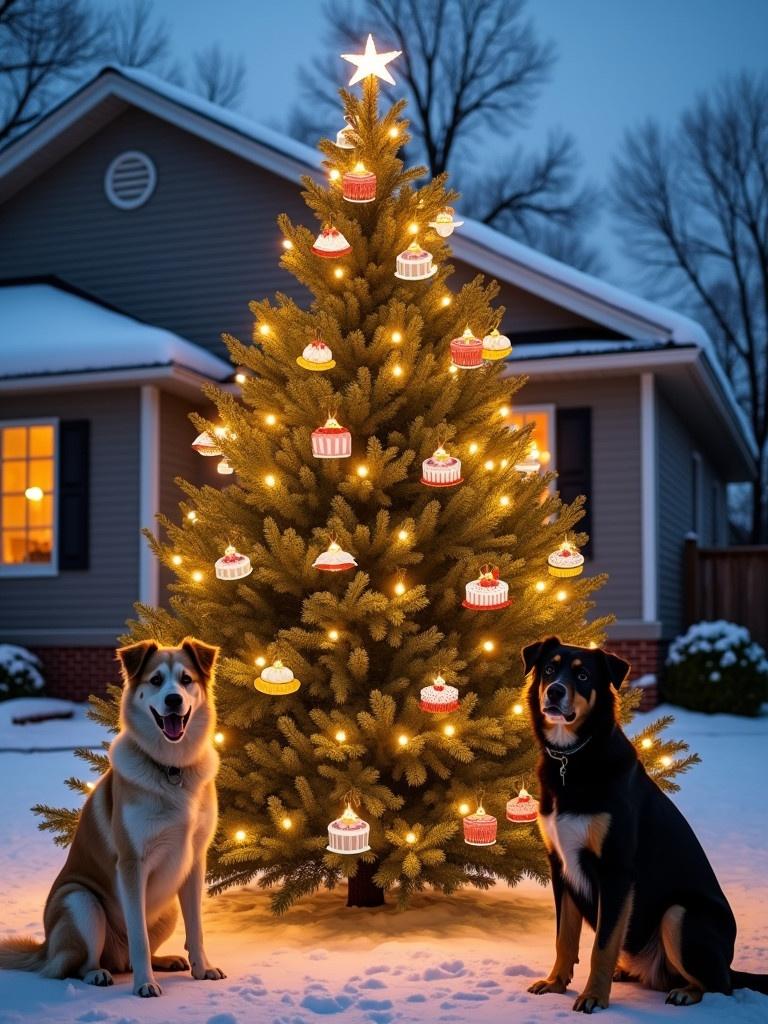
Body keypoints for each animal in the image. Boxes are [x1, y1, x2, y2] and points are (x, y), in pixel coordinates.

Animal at [0, 634, 227, 995]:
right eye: (156, 680)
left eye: (186, 679)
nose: (174, 700)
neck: (171, 769)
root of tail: (44, 947)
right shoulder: (132, 864)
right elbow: (139, 938)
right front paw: (145, 986)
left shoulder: (194, 862)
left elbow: (197, 928)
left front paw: (202, 969)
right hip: (81, 902)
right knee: (74, 965)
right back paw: (98, 974)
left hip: (166, 910)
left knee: (126, 959)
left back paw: (165, 962)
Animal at [524, 634, 768, 1011]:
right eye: (550, 669)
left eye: (582, 676)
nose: (554, 691)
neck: (574, 759)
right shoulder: (561, 867)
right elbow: (564, 938)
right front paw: (555, 983)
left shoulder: (616, 871)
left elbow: (602, 946)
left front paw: (593, 997)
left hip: (679, 914)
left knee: (719, 985)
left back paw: (685, 992)